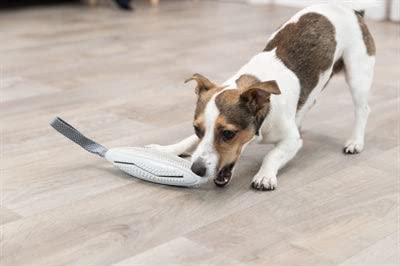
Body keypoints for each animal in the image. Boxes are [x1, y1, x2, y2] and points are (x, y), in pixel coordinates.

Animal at [147, 4, 376, 191]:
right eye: (197, 129)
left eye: (228, 134)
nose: (197, 169)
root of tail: (352, 10)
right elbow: (187, 141)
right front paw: (165, 149)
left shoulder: (292, 141)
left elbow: (272, 154)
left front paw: (265, 176)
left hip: (357, 74)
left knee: (362, 109)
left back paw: (355, 141)